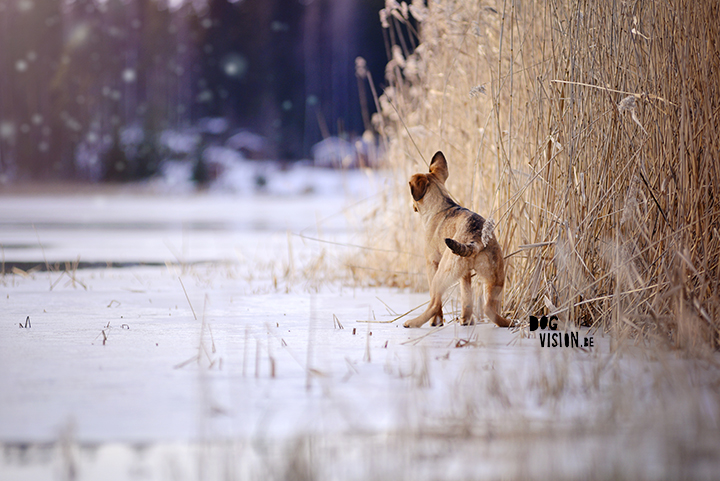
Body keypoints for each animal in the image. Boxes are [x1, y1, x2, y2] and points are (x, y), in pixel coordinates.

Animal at [404, 152, 512, 328]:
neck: (441, 205)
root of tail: (476, 238)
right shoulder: (465, 274)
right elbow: (466, 297)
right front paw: (466, 320)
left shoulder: (432, 263)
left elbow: (438, 305)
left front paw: (436, 322)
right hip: (495, 277)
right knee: (489, 308)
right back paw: (507, 322)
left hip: (442, 272)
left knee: (434, 302)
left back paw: (414, 322)